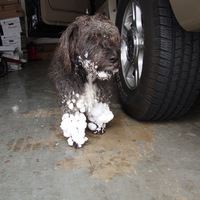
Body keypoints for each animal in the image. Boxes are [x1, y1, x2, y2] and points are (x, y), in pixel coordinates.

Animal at [48, 13, 120, 148]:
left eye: (112, 37)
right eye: (94, 37)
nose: (115, 57)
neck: (87, 74)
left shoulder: (100, 94)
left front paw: (98, 126)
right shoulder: (72, 97)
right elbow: (74, 119)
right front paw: (76, 138)